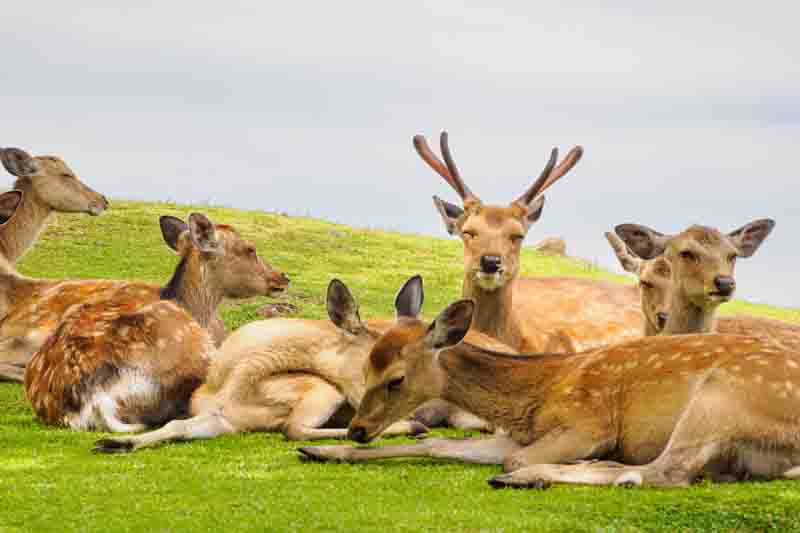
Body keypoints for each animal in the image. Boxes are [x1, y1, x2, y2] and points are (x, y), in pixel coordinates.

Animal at [92, 275, 515, 452]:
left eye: (395, 374)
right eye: (369, 368)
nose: (413, 410)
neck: (234, 378)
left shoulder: (319, 389)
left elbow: (293, 428)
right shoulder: (221, 419)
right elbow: (178, 425)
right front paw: (115, 442)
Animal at [298, 290, 800, 489]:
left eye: (396, 379)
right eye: (366, 365)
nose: (357, 429)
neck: (534, 397)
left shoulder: (589, 422)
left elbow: (513, 457)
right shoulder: (514, 434)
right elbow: (435, 444)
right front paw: (321, 452)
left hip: (721, 396)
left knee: (662, 472)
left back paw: (531, 477)